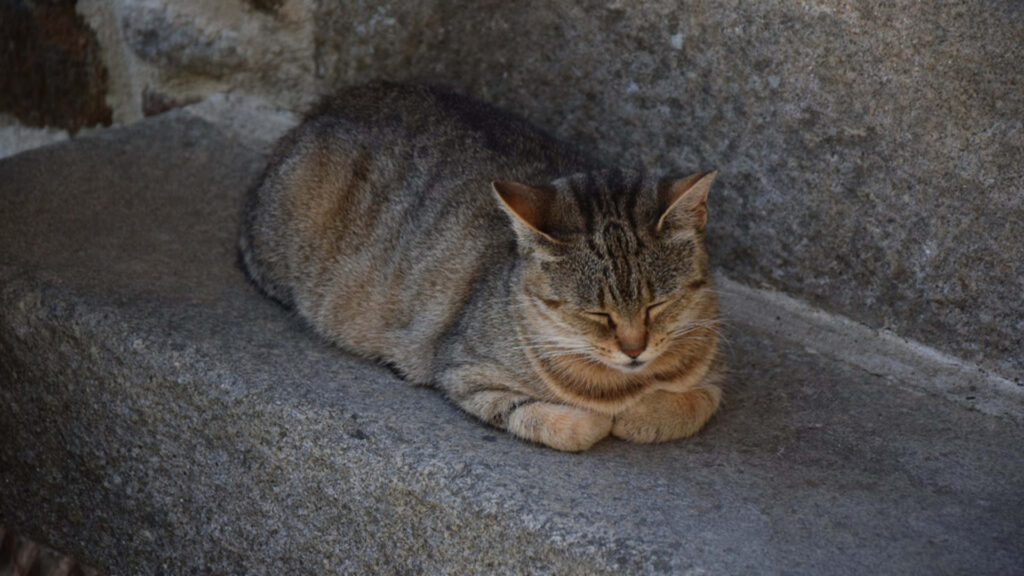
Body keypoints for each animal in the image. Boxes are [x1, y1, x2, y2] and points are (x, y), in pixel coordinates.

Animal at [238, 83, 720, 450]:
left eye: (660, 304)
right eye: (594, 313)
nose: (634, 349)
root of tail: (319, 109)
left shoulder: (713, 372)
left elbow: (695, 402)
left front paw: (642, 414)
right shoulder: (464, 372)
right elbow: (557, 421)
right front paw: (603, 418)